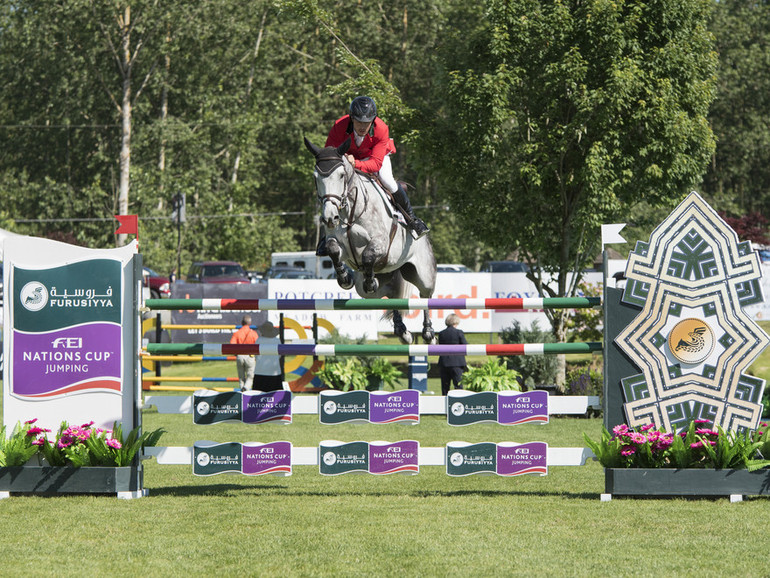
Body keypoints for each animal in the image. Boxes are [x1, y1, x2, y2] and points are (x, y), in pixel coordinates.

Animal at [306, 135, 438, 342]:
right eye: (315, 177)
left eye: (341, 175)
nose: (329, 218)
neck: (350, 211)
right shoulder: (337, 243)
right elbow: (333, 250)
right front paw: (345, 278)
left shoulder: (381, 243)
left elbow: (368, 255)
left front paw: (366, 280)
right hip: (382, 279)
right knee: (389, 294)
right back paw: (403, 331)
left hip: (423, 274)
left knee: (425, 296)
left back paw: (428, 333)